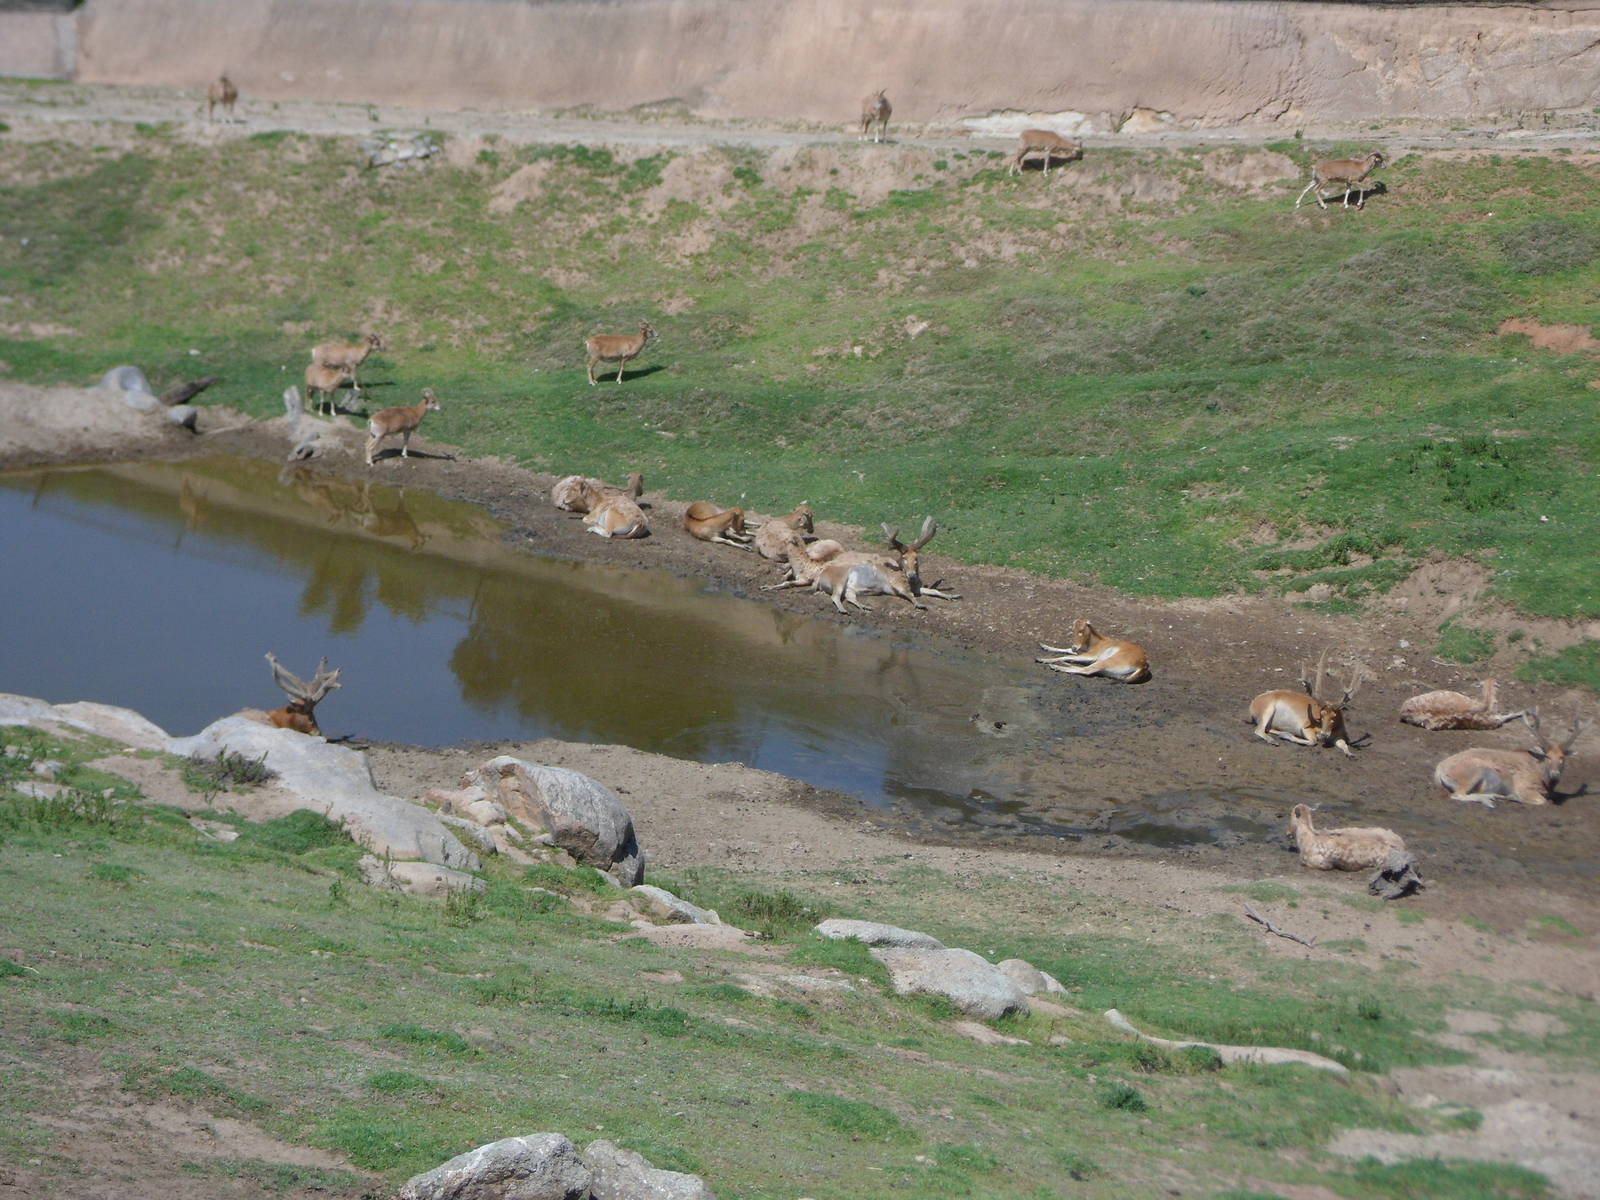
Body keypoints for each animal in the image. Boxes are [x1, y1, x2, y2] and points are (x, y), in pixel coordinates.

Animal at [1433, 711, 1584, 807]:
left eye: (1562, 757)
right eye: (1547, 756)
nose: (1555, 774)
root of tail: (1439, 770)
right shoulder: (1524, 786)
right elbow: (1542, 801)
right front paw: (1514, 797)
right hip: (1472, 773)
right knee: (1457, 795)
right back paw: (1491, 798)